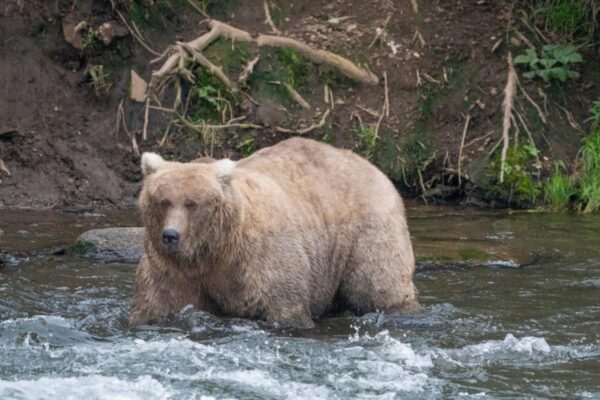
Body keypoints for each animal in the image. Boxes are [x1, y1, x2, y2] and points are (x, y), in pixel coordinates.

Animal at [127, 138, 418, 328]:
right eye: (163, 201)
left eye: (192, 203)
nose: (171, 235)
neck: (214, 250)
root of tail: (371, 166)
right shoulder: (173, 269)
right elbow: (157, 303)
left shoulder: (260, 259)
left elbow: (285, 305)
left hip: (366, 230)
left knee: (378, 284)